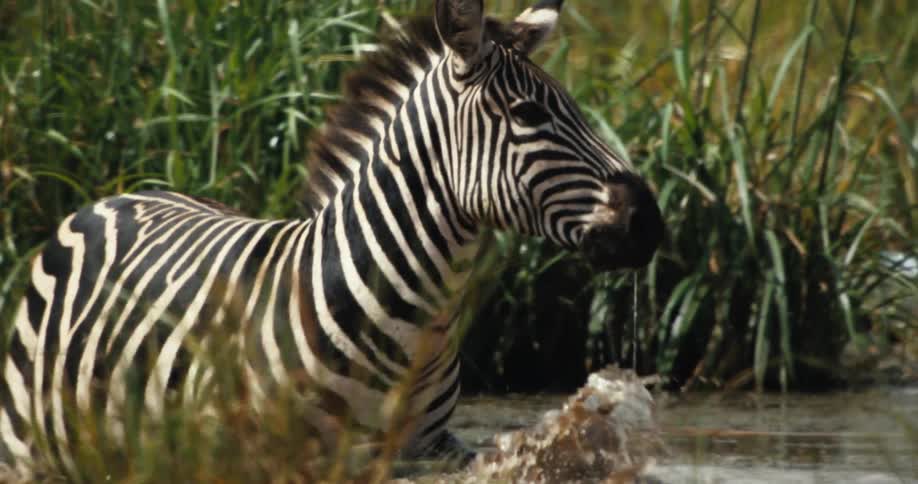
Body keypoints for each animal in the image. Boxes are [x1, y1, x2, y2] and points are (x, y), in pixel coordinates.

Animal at [1, 0, 664, 478]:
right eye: (528, 114)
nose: (649, 224)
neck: (407, 327)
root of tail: (118, 196)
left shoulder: (427, 453)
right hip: (26, 446)